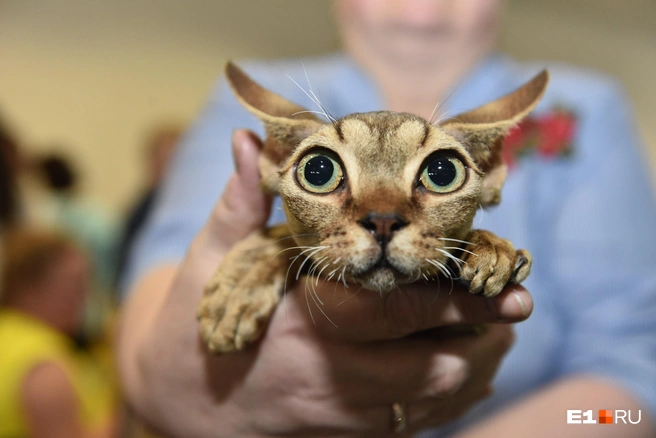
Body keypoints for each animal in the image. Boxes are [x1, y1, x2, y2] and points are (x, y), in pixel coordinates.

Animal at [196, 61, 548, 354]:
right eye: (318, 170)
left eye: (443, 171)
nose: (382, 221)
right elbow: (286, 241)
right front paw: (241, 284)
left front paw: (491, 249)